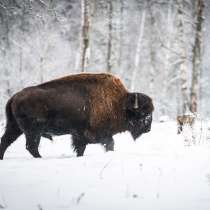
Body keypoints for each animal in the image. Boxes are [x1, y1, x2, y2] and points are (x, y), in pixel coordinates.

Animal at [0, 72, 154, 159]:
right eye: (143, 113)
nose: (148, 129)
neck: (119, 103)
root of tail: (14, 97)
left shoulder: (79, 136)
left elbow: (81, 148)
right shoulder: (96, 134)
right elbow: (109, 144)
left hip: (15, 128)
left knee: (5, 141)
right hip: (33, 131)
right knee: (31, 146)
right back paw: (40, 158)